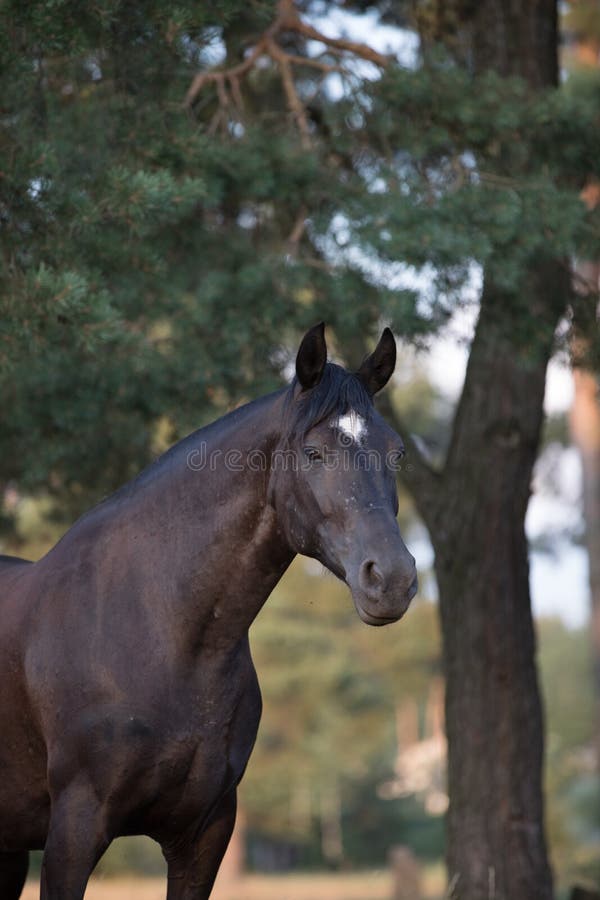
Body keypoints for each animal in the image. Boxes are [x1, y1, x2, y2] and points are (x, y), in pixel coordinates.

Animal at [0, 326, 418, 900]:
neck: (159, 633)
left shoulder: (203, 835)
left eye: (396, 453)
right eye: (313, 452)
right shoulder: (73, 833)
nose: (392, 579)